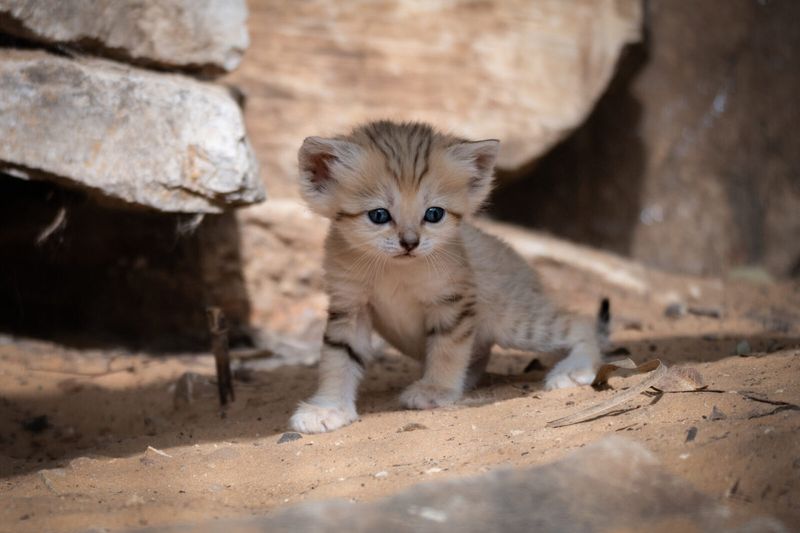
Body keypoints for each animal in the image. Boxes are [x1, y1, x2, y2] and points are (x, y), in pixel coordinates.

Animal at [288, 120, 608, 432]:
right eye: (379, 215)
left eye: (434, 214)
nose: (410, 242)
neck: (395, 269)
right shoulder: (350, 305)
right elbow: (338, 358)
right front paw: (328, 407)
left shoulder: (453, 301)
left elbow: (447, 349)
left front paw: (435, 389)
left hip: (515, 322)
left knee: (580, 321)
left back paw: (575, 369)